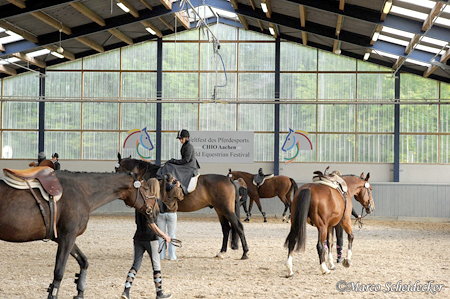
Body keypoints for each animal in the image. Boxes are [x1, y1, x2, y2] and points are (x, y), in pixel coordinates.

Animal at [0, 168, 160, 298]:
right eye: (146, 188)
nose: (157, 210)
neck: (81, 191)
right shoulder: (68, 237)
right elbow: (59, 272)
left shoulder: (64, 238)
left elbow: (83, 261)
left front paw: (80, 291)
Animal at [116, 155, 250, 260]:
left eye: (116, 169)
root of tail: (228, 179)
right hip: (220, 210)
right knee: (226, 229)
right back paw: (221, 252)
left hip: (226, 210)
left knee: (239, 227)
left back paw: (245, 253)